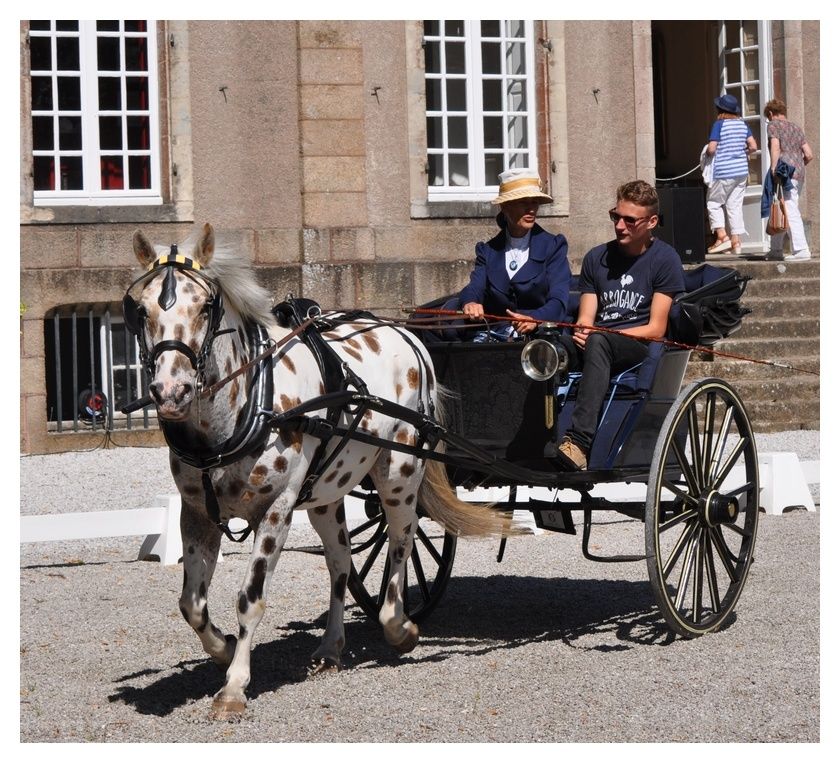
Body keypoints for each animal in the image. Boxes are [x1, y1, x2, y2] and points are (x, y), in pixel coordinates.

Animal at [123, 223, 512, 719]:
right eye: (140, 308)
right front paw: (226, 650)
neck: (246, 405)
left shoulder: (277, 509)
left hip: (400, 470)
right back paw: (331, 646)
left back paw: (399, 625)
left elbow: (250, 599)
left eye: (206, 305)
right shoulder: (196, 514)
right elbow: (191, 603)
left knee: (402, 541)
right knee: (342, 562)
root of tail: (407, 335)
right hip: (328, 494)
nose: (172, 390)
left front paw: (234, 687)